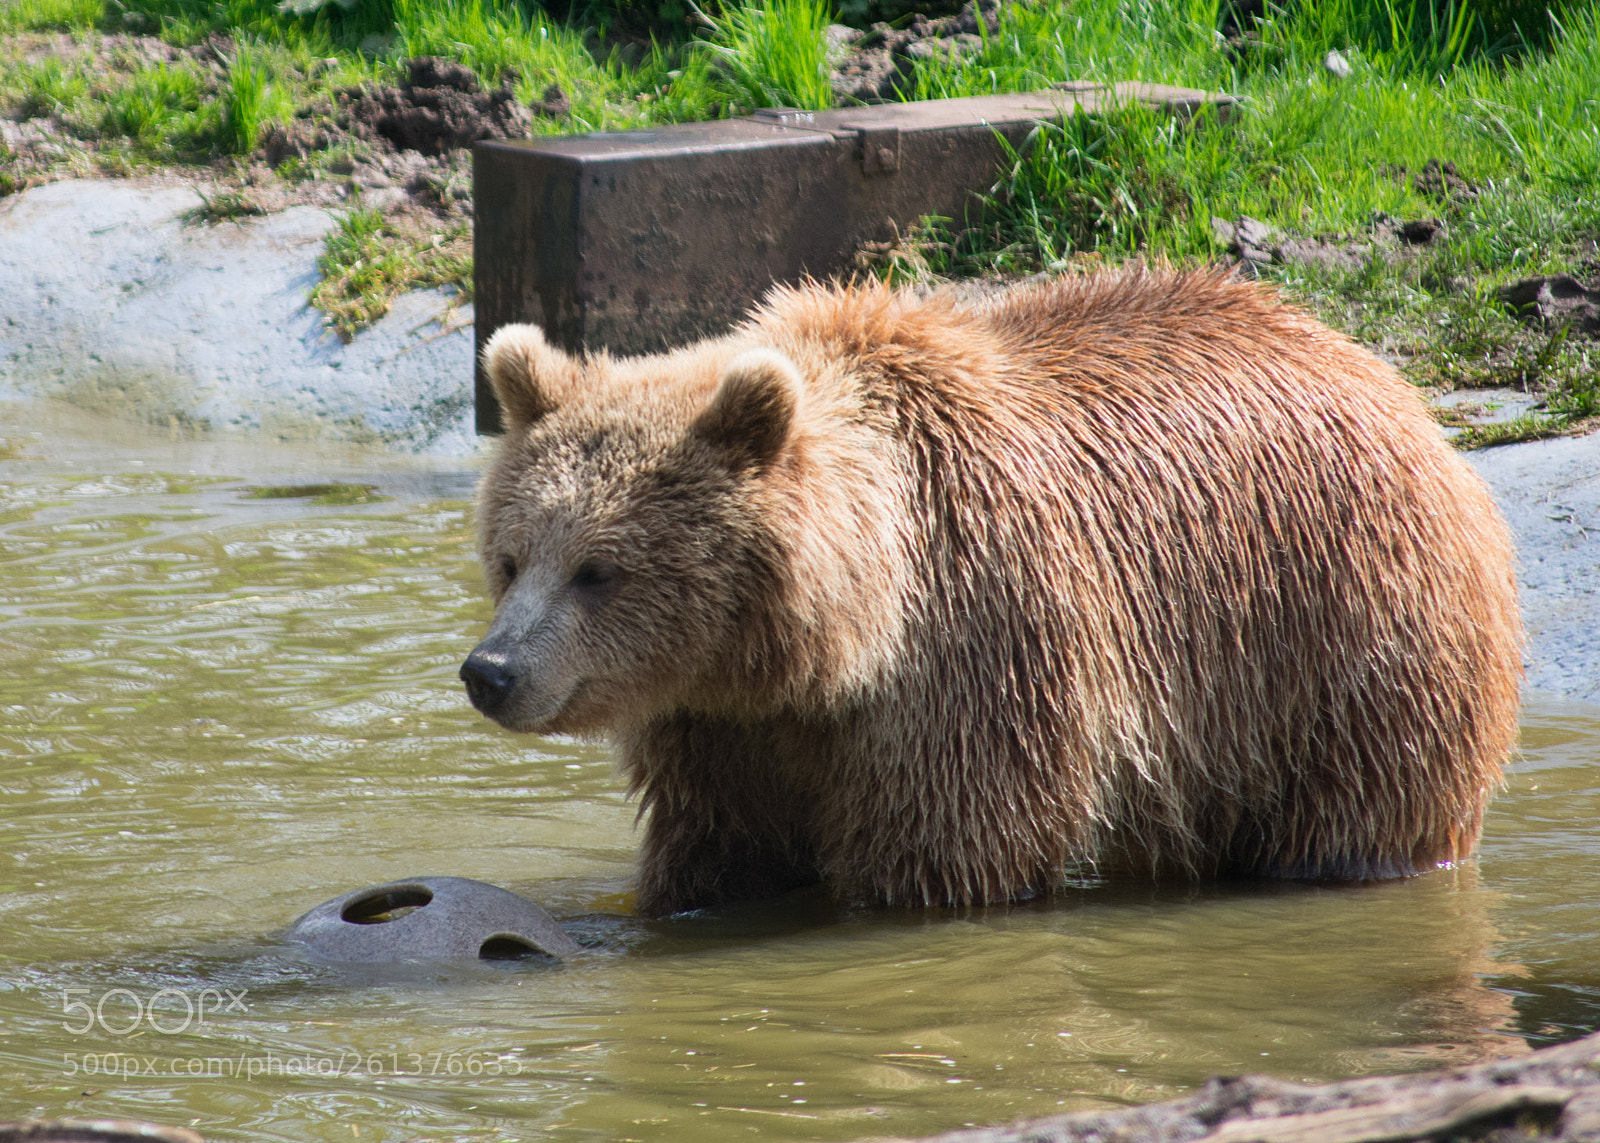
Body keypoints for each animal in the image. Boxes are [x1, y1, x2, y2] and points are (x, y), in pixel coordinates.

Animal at [461, 265, 1522, 918]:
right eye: (513, 556)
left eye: (600, 568)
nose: (491, 669)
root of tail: (1393, 384)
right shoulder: (723, 722)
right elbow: (720, 847)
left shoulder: (977, 647)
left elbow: (948, 849)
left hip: (1337, 634)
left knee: (1355, 801)